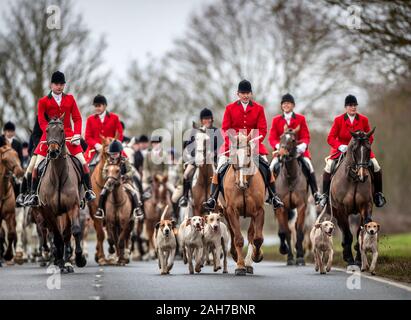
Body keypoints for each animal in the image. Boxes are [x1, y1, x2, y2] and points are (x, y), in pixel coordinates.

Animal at [36, 116, 87, 274]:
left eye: (62, 130)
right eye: (47, 130)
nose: (53, 152)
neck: (58, 175)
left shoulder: (72, 207)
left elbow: (75, 231)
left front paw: (80, 259)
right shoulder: (49, 211)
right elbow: (56, 237)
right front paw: (59, 260)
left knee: (66, 234)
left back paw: (67, 261)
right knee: (54, 235)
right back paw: (59, 261)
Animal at [220, 131, 266, 276]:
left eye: (248, 154)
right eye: (233, 156)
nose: (241, 182)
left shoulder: (259, 211)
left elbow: (257, 238)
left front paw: (257, 256)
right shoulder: (231, 210)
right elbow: (238, 239)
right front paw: (240, 266)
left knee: (251, 234)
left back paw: (249, 263)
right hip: (225, 212)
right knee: (233, 232)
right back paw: (236, 255)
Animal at [328, 127, 376, 264]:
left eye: (368, 148)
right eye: (355, 149)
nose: (362, 176)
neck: (353, 179)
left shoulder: (366, 206)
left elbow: (362, 230)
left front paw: (359, 258)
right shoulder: (341, 210)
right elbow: (348, 234)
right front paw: (349, 258)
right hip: (336, 211)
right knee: (344, 231)